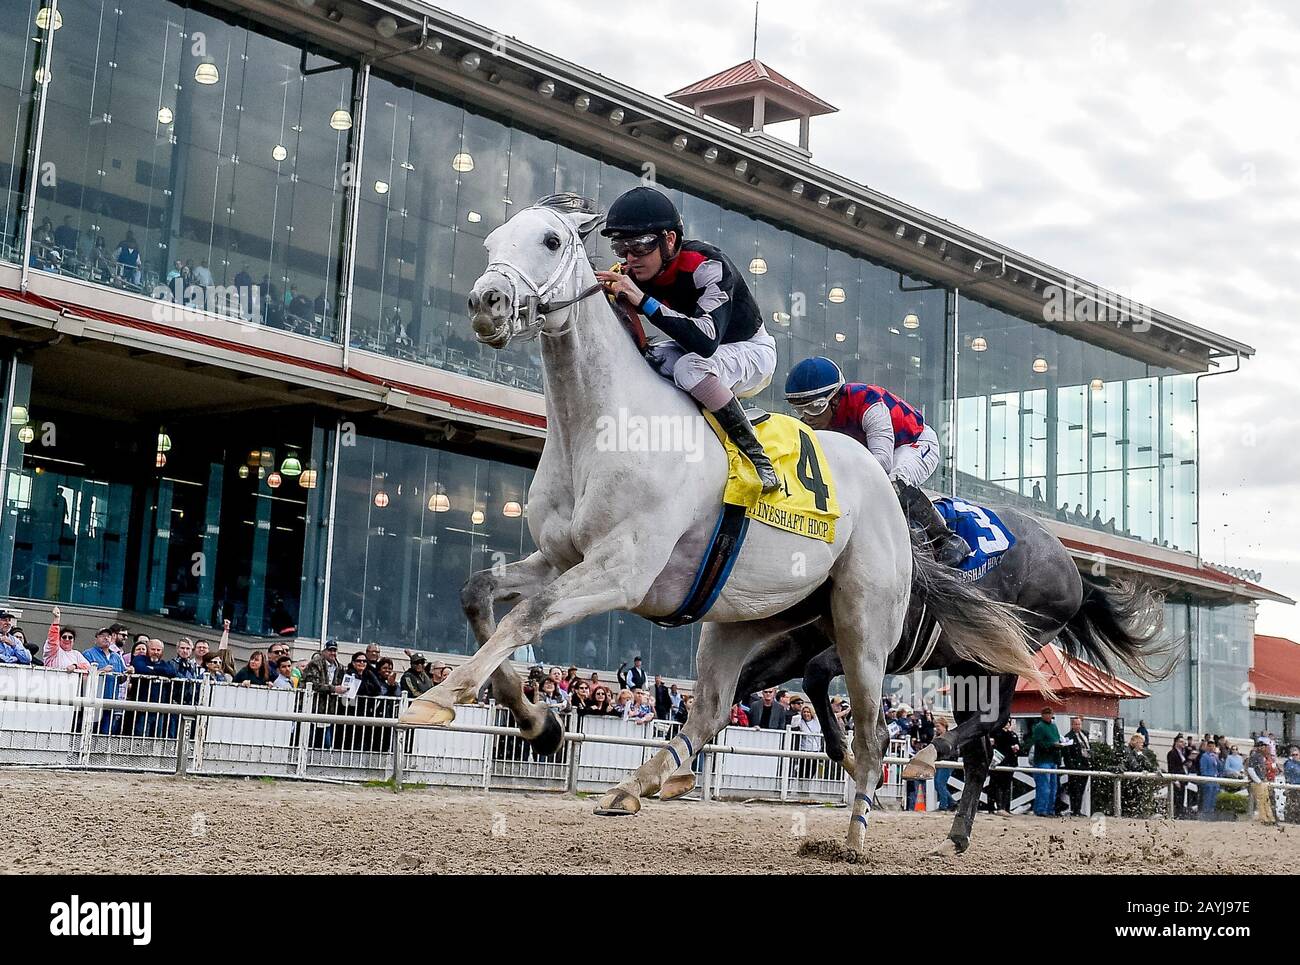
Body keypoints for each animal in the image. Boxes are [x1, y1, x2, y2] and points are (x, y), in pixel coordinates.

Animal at [400, 195, 1040, 853]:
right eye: (491, 240)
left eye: (551, 241)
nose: (487, 302)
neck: (604, 425)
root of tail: (885, 487)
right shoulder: (558, 557)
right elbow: (479, 593)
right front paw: (536, 721)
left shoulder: (622, 568)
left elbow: (528, 615)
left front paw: (440, 697)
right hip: (739, 615)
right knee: (711, 706)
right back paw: (634, 787)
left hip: (863, 623)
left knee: (875, 731)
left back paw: (855, 834)